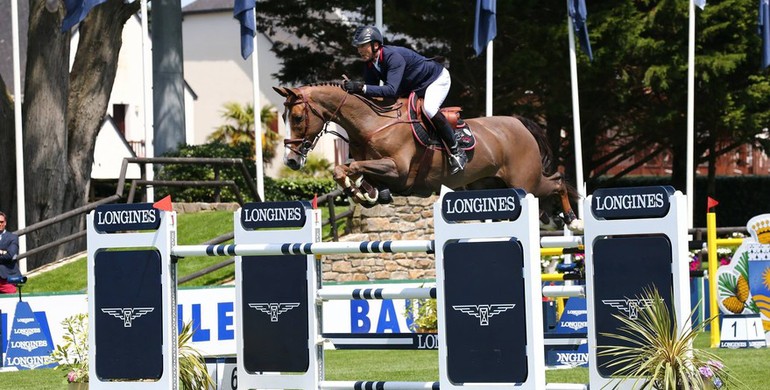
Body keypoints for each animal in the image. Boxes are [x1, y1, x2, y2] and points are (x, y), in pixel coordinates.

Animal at [272, 82, 580, 229]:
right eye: (283, 117)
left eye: (297, 117)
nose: (291, 161)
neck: (371, 122)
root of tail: (520, 123)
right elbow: (348, 169)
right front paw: (367, 193)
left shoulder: (397, 169)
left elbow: (351, 167)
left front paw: (359, 190)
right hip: (490, 185)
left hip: (526, 182)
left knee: (557, 181)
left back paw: (571, 220)